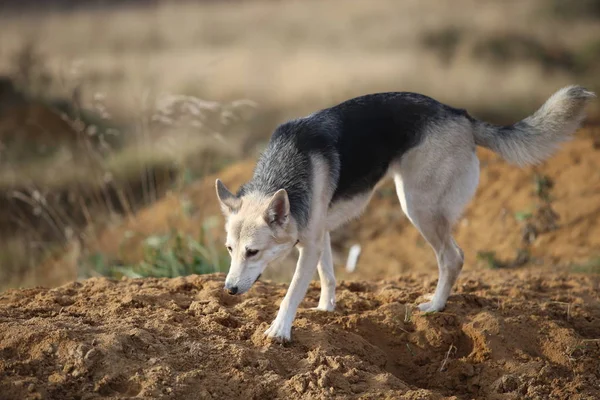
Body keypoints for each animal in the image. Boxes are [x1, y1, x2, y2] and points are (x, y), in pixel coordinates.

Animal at [216, 86, 596, 342]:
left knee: (453, 257)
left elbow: (292, 292)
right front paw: (325, 310)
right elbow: (328, 277)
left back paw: (435, 307)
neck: (280, 174)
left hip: (416, 205)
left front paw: (279, 330)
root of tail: (459, 113)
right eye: (230, 251)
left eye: (253, 252)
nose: (229, 290)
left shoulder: (308, 244)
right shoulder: (317, 235)